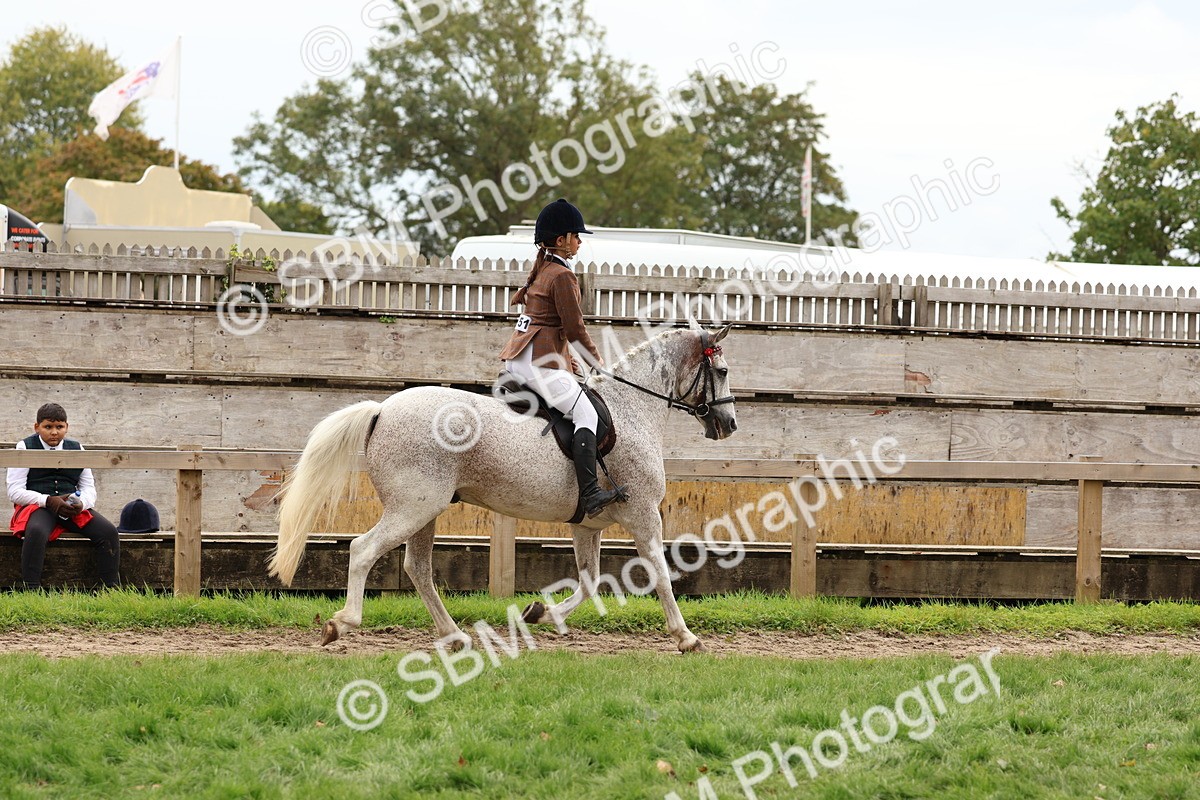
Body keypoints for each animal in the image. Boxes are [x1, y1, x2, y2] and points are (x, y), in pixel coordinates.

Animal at [268, 324, 738, 653]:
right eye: (722, 370)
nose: (729, 424)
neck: (631, 408)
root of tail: (382, 409)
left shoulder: (587, 525)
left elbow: (589, 582)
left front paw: (540, 613)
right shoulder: (644, 514)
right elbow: (659, 573)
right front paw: (687, 637)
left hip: (423, 511)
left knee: (417, 568)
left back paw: (456, 637)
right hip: (412, 508)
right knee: (364, 550)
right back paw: (342, 623)